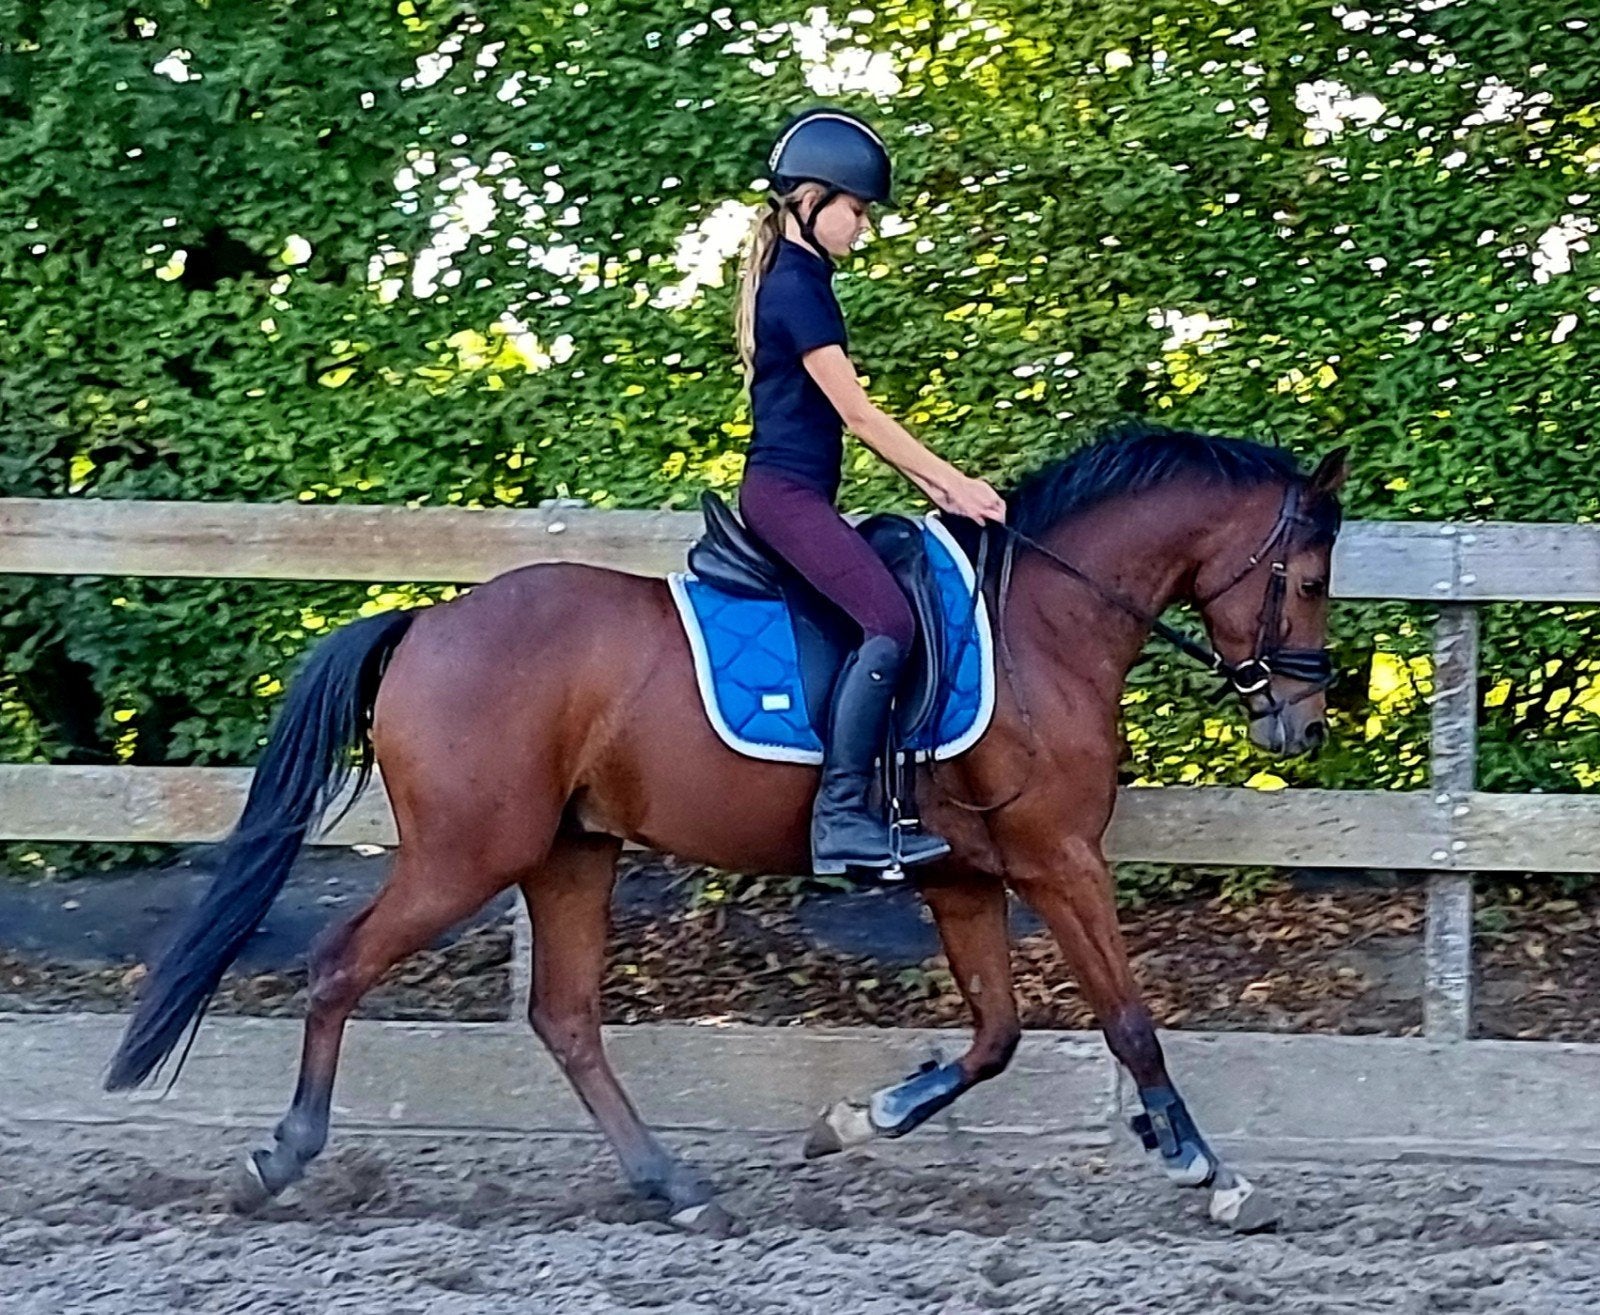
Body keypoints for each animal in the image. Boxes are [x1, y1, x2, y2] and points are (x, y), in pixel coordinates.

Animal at [105, 423, 1348, 1237]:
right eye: (1307, 577)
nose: (1301, 720)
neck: (1042, 621)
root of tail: (430, 622)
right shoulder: (1056, 858)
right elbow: (1129, 1021)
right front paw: (1206, 1171)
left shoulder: (963, 874)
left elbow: (995, 1035)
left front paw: (851, 1121)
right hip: (468, 855)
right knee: (338, 965)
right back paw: (278, 1160)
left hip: (569, 853)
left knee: (564, 1018)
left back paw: (675, 1186)